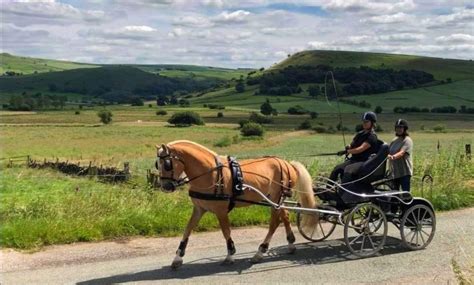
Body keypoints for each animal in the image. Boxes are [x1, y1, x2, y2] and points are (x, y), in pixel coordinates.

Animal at [156, 140, 318, 268]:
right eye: (157, 164)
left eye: (167, 164)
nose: (165, 187)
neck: (211, 173)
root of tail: (287, 163)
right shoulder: (199, 209)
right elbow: (187, 230)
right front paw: (178, 257)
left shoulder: (221, 211)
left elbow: (226, 231)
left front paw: (230, 255)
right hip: (276, 200)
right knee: (285, 216)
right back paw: (290, 244)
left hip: (277, 198)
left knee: (274, 222)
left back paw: (260, 251)